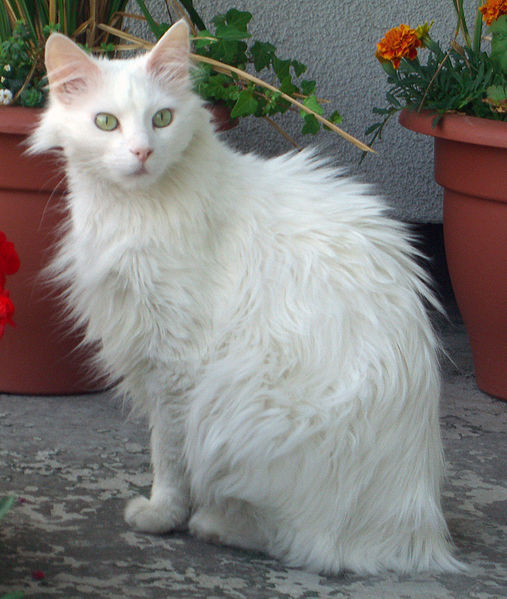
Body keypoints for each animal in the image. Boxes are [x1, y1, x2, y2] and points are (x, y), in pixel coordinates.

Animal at [28, 21, 464, 576]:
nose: (143, 153)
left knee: (303, 544)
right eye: (106, 123)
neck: (135, 210)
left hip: (248, 412)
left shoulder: (176, 367)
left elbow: (168, 455)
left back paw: (215, 524)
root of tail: (419, 535)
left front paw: (162, 514)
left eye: (162, 119)